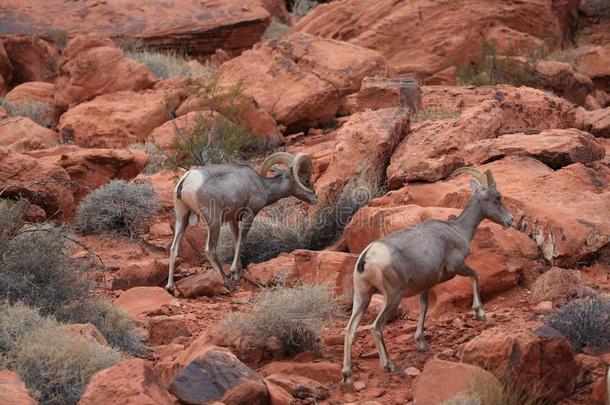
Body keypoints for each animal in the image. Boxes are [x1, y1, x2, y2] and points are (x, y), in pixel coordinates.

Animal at [166, 152, 318, 290]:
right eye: (306, 180)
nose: (315, 198)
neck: (262, 186)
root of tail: (186, 180)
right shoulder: (248, 215)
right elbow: (242, 241)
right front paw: (234, 273)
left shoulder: (232, 219)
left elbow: (235, 241)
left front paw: (237, 274)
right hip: (214, 222)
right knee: (210, 250)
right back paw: (228, 283)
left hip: (182, 218)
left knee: (174, 248)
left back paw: (170, 286)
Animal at [340, 165, 510, 386]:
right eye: (497, 197)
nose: (510, 220)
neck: (458, 230)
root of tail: (366, 258)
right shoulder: (457, 266)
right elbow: (476, 276)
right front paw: (480, 313)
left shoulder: (424, 286)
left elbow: (423, 308)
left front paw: (421, 343)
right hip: (392, 296)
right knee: (376, 327)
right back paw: (389, 365)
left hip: (363, 296)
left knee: (349, 331)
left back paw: (346, 375)